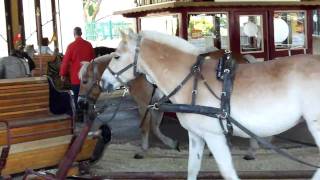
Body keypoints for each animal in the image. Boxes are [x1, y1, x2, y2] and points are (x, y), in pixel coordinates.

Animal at [100, 30, 320, 179]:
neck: (191, 82)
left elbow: (227, 171)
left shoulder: (214, 136)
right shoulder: (196, 135)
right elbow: (192, 169)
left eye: (117, 56)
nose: (103, 82)